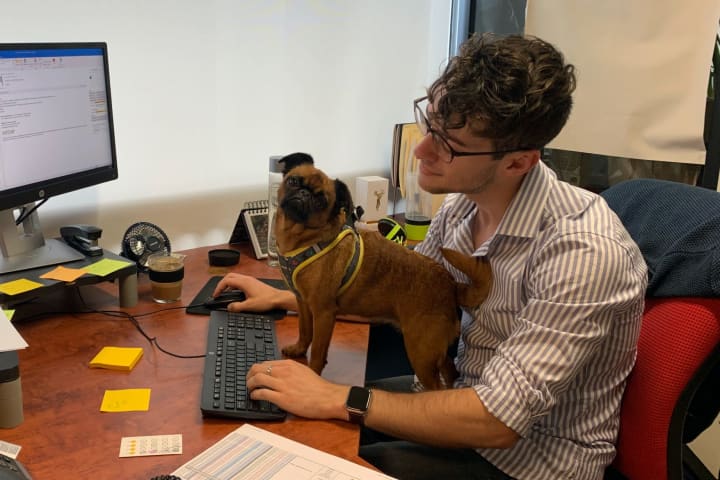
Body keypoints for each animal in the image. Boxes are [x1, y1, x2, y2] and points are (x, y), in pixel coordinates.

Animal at [272, 154, 492, 390]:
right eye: (293, 181)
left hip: (421, 353)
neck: (302, 238)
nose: (304, 193)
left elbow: (318, 352)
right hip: (435, 353)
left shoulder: (323, 313)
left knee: (437, 388)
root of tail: (451, 285)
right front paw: (298, 349)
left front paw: (311, 375)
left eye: (321, 201)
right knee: (450, 370)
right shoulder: (303, 303)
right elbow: (305, 331)